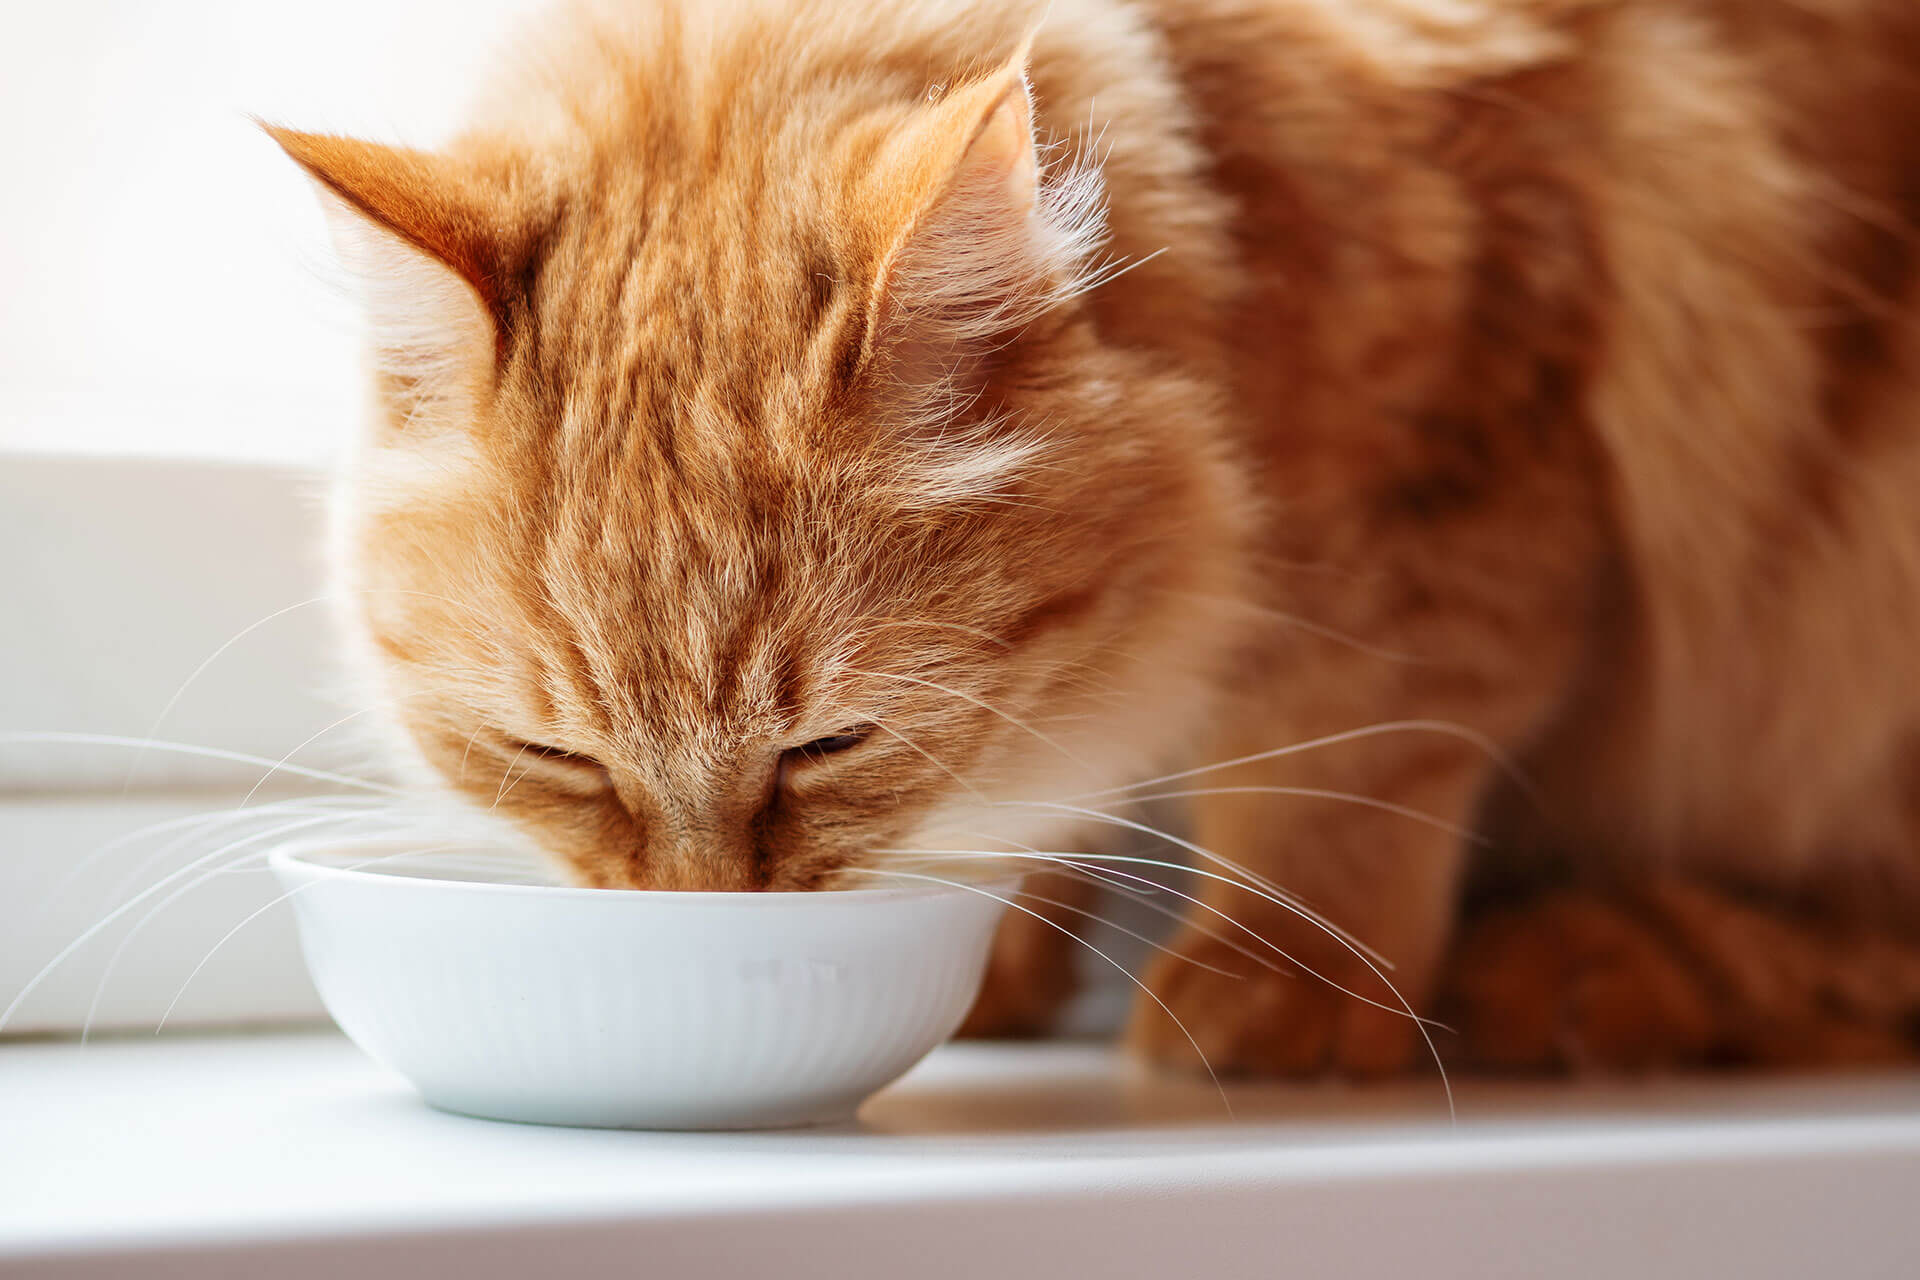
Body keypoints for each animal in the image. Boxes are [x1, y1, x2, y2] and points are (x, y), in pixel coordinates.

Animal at [266, 0, 1920, 1082]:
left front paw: (1284, 988)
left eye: (829, 748)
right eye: (556, 759)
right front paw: (1010, 951)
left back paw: (1581, 970)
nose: (696, 922)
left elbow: (1353, 760)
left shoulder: (1474, 455)